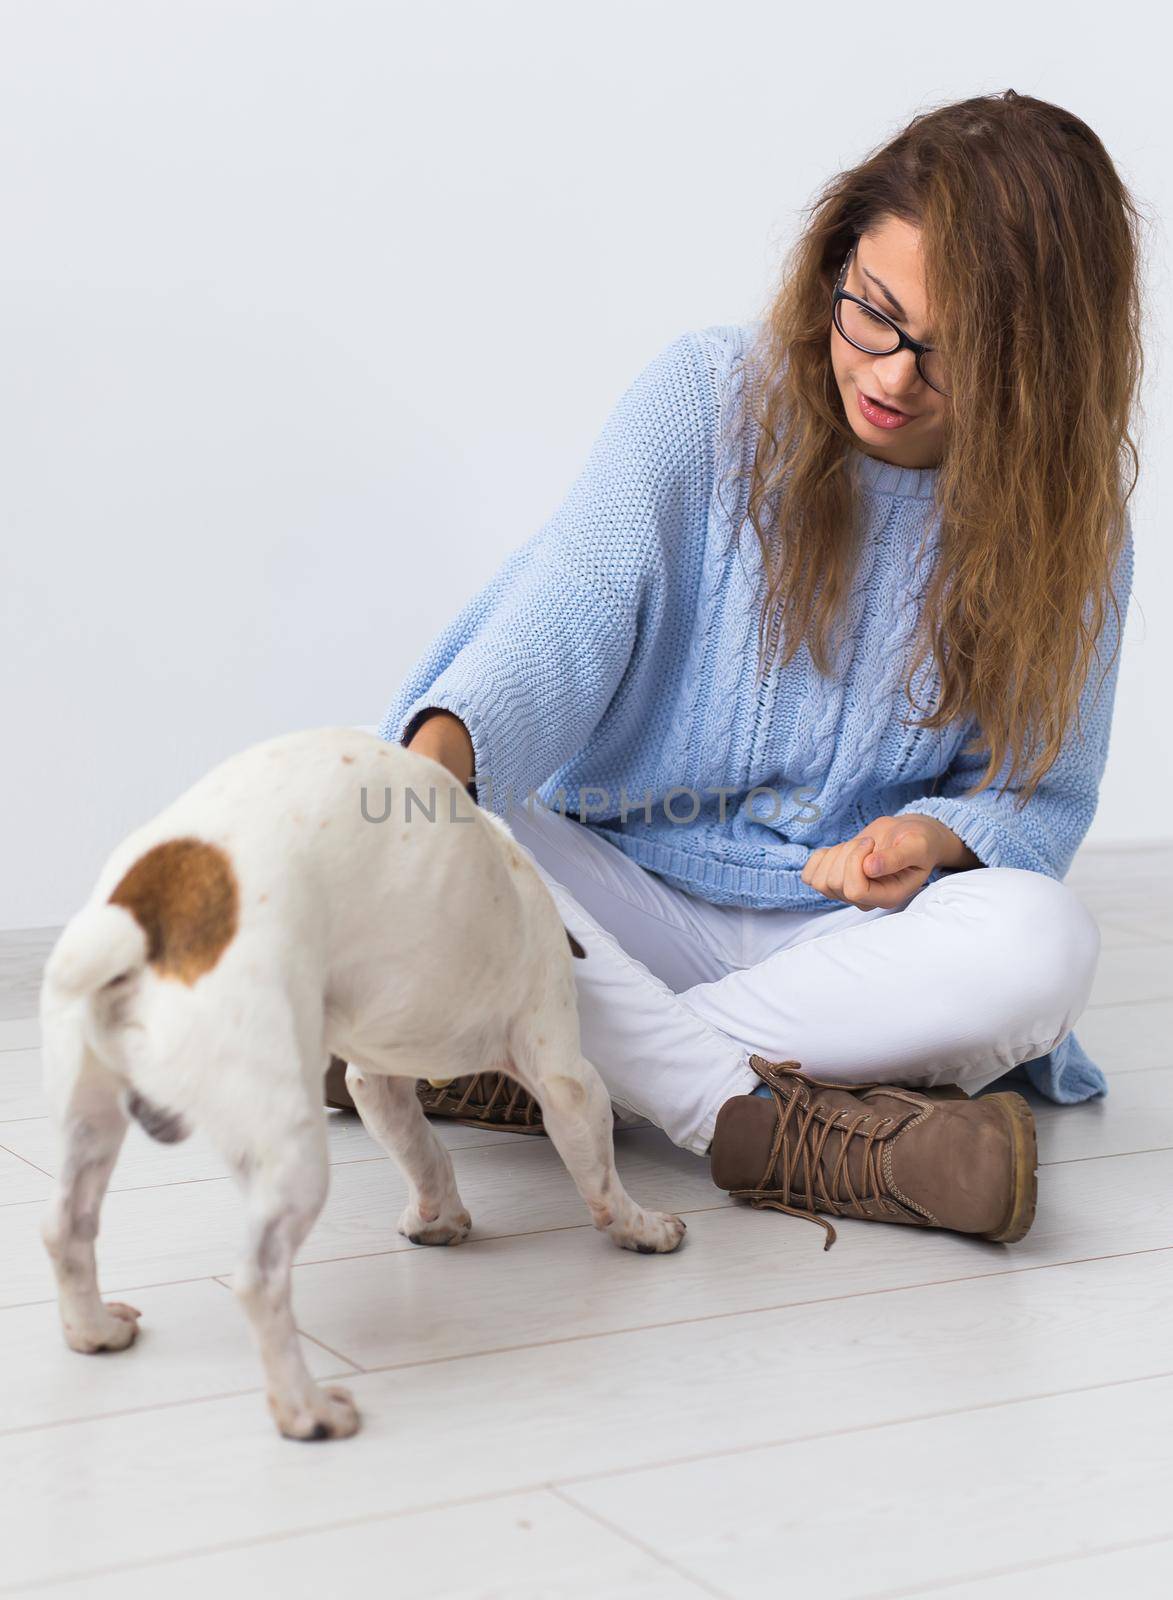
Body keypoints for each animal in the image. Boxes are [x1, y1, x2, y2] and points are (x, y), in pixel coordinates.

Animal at [38, 732, 684, 1446]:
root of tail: (148, 913)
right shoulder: (566, 1077)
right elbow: (601, 1178)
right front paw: (642, 1227)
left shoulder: (375, 1079)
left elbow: (425, 1153)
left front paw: (437, 1218)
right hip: (289, 1152)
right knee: (258, 1282)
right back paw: (307, 1410)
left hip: (88, 1118)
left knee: (66, 1228)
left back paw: (93, 1330)